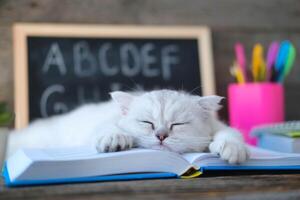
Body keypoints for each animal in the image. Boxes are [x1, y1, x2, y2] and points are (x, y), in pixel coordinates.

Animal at [7, 90, 248, 163]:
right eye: (147, 123)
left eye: (178, 124)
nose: (161, 135)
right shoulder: (105, 121)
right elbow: (108, 128)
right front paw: (115, 139)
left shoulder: (219, 125)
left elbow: (230, 134)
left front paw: (232, 150)